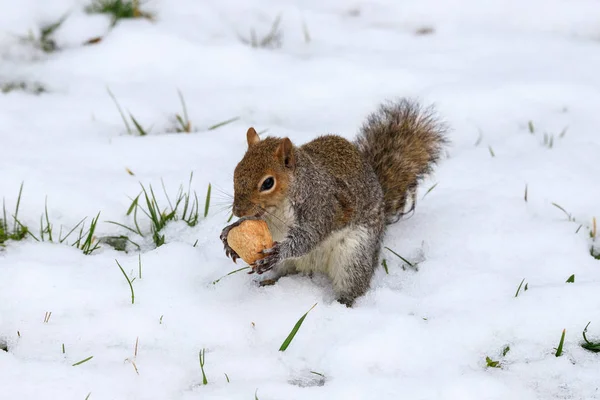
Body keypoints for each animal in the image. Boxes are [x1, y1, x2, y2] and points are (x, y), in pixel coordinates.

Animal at [219, 97, 446, 306]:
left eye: (268, 183)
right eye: (236, 171)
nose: (238, 210)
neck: (278, 209)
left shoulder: (323, 207)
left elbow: (309, 237)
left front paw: (278, 252)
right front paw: (230, 232)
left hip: (354, 256)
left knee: (352, 283)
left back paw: (342, 303)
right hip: (297, 265)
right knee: (286, 272)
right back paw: (270, 281)